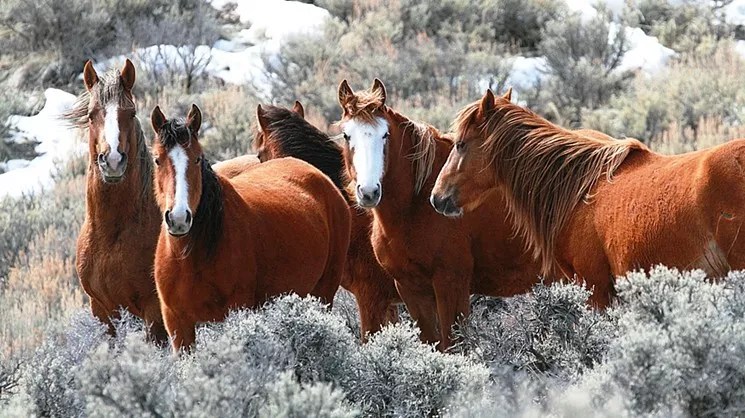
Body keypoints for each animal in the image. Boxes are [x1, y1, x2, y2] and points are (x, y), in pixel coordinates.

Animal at [151, 104, 351, 352]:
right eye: (157, 160)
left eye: (197, 159)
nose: (179, 218)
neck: (191, 257)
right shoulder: (177, 325)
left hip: (324, 294)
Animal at [336, 79, 542, 350]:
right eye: (347, 135)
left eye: (385, 135)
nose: (369, 191)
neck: (416, 206)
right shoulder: (412, 290)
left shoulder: (451, 285)